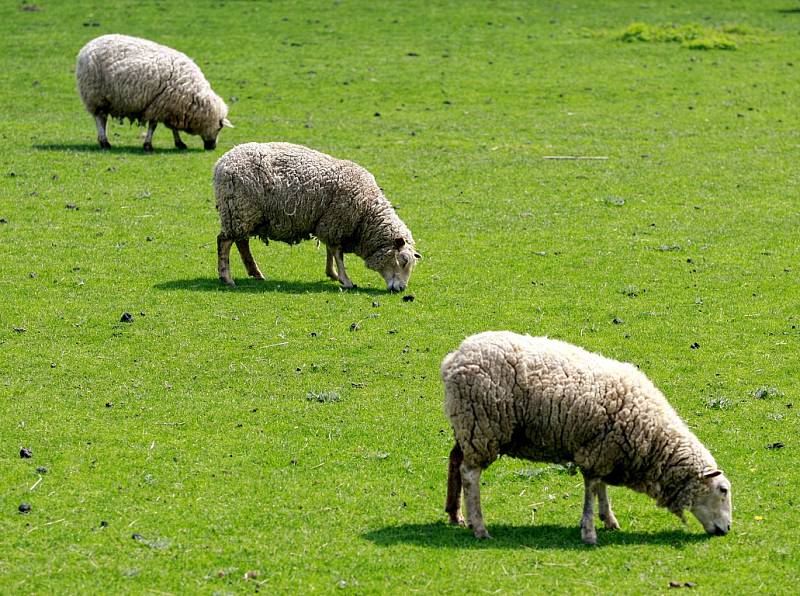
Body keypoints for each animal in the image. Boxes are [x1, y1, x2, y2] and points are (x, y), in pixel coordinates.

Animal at [75, 33, 233, 151]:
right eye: (219, 128)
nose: (212, 147)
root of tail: (86, 47)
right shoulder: (158, 105)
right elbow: (153, 126)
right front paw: (148, 145)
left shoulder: (171, 107)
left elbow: (173, 128)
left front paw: (180, 143)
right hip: (95, 95)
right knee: (99, 118)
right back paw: (105, 142)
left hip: (104, 98)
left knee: (103, 119)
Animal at [212, 144, 424, 294]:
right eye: (403, 261)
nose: (401, 289)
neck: (366, 214)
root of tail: (222, 162)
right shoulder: (336, 222)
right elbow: (338, 254)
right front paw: (345, 280)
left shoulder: (329, 225)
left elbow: (330, 250)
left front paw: (332, 274)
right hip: (238, 209)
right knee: (224, 241)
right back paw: (227, 278)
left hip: (242, 214)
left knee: (241, 243)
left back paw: (255, 273)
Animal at [440, 330, 736, 544]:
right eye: (722, 490)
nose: (727, 529)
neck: (654, 438)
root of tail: (454, 358)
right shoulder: (598, 451)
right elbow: (592, 490)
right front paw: (590, 532)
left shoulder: (605, 449)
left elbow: (600, 488)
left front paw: (609, 520)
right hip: (483, 425)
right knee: (470, 474)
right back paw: (479, 527)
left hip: (467, 425)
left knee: (455, 460)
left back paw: (456, 515)